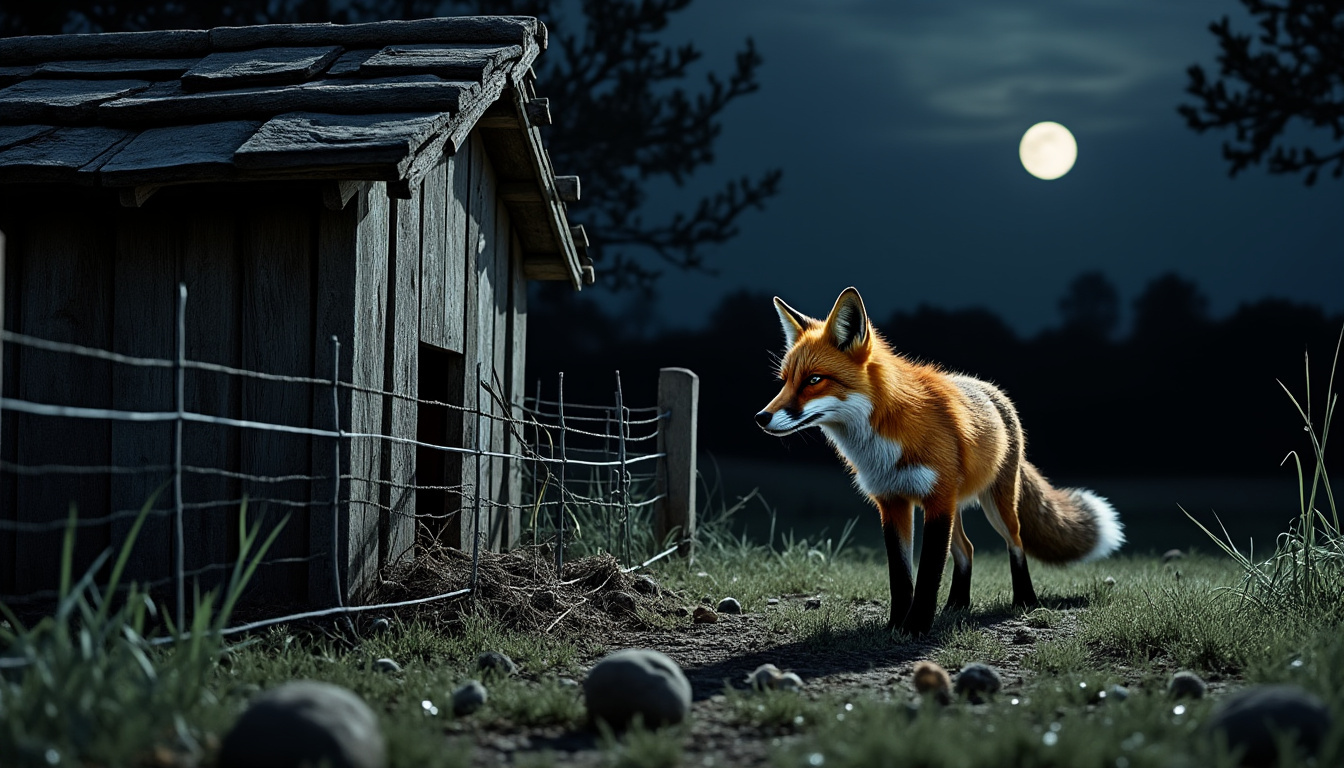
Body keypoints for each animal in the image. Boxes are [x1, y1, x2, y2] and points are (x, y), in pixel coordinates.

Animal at [755, 287, 1124, 635]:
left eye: (814, 380)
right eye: (785, 381)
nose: (761, 418)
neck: (881, 440)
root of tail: (993, 391)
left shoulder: (935, 501)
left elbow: (929, 573)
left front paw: (916, 628)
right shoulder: (893, 502)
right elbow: (901, 576)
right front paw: (896, 626)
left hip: (995, 505)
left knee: (1016, 544)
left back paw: (1025, 601)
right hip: (955, 506)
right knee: (967, 549)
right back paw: (957, 605)